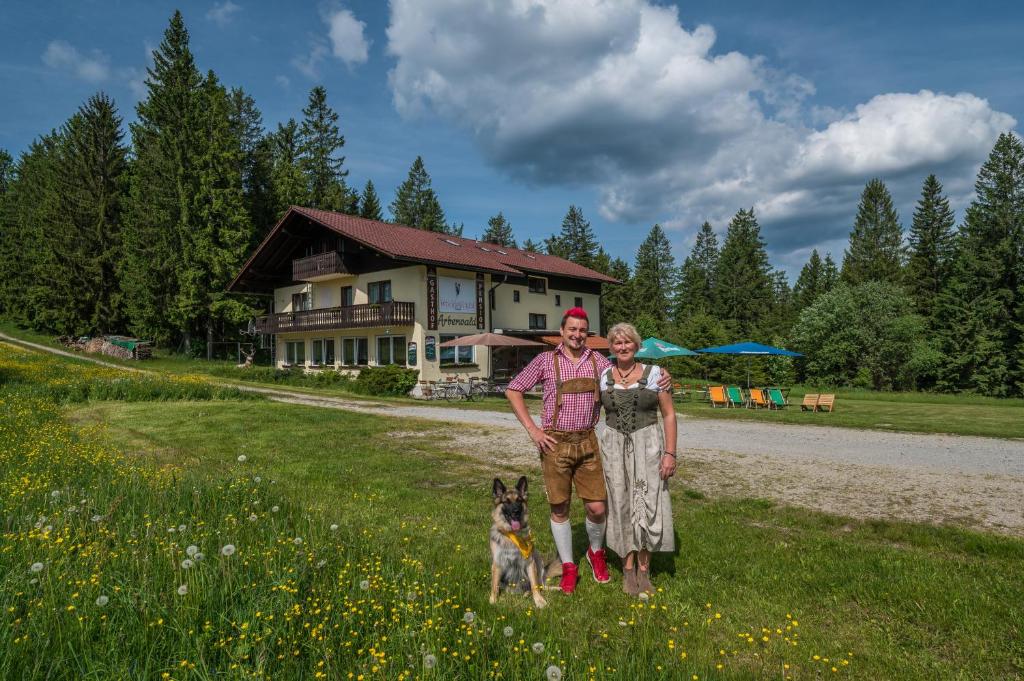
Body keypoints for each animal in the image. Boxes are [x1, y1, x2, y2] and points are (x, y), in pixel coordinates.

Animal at [487, 475, 561, 606]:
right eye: (506, 502)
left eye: (519, 500)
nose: (516, 512)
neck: (512, 534)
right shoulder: (497, 562)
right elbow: (494, 584)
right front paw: (493, 600)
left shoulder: (530, 562)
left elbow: (534, 585)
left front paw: (539, 600)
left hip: (537, 558)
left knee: (540, 585)